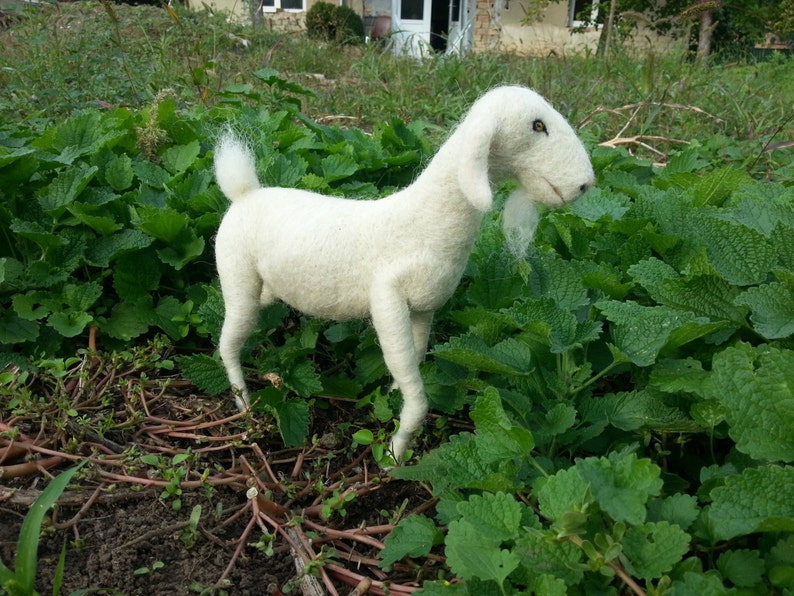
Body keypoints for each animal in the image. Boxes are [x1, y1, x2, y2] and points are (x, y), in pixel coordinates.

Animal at [213, 85, 592, 460]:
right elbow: (412, 382)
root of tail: (245, 193)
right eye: (538, 126)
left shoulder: (423, 309)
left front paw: (394, 401)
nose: (585, 184)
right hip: (237, 279)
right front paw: (396, 454)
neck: (422, 223)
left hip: (265, 287)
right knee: (227, 344)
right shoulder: (387, 302)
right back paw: (244, 405)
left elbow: (415, 359)